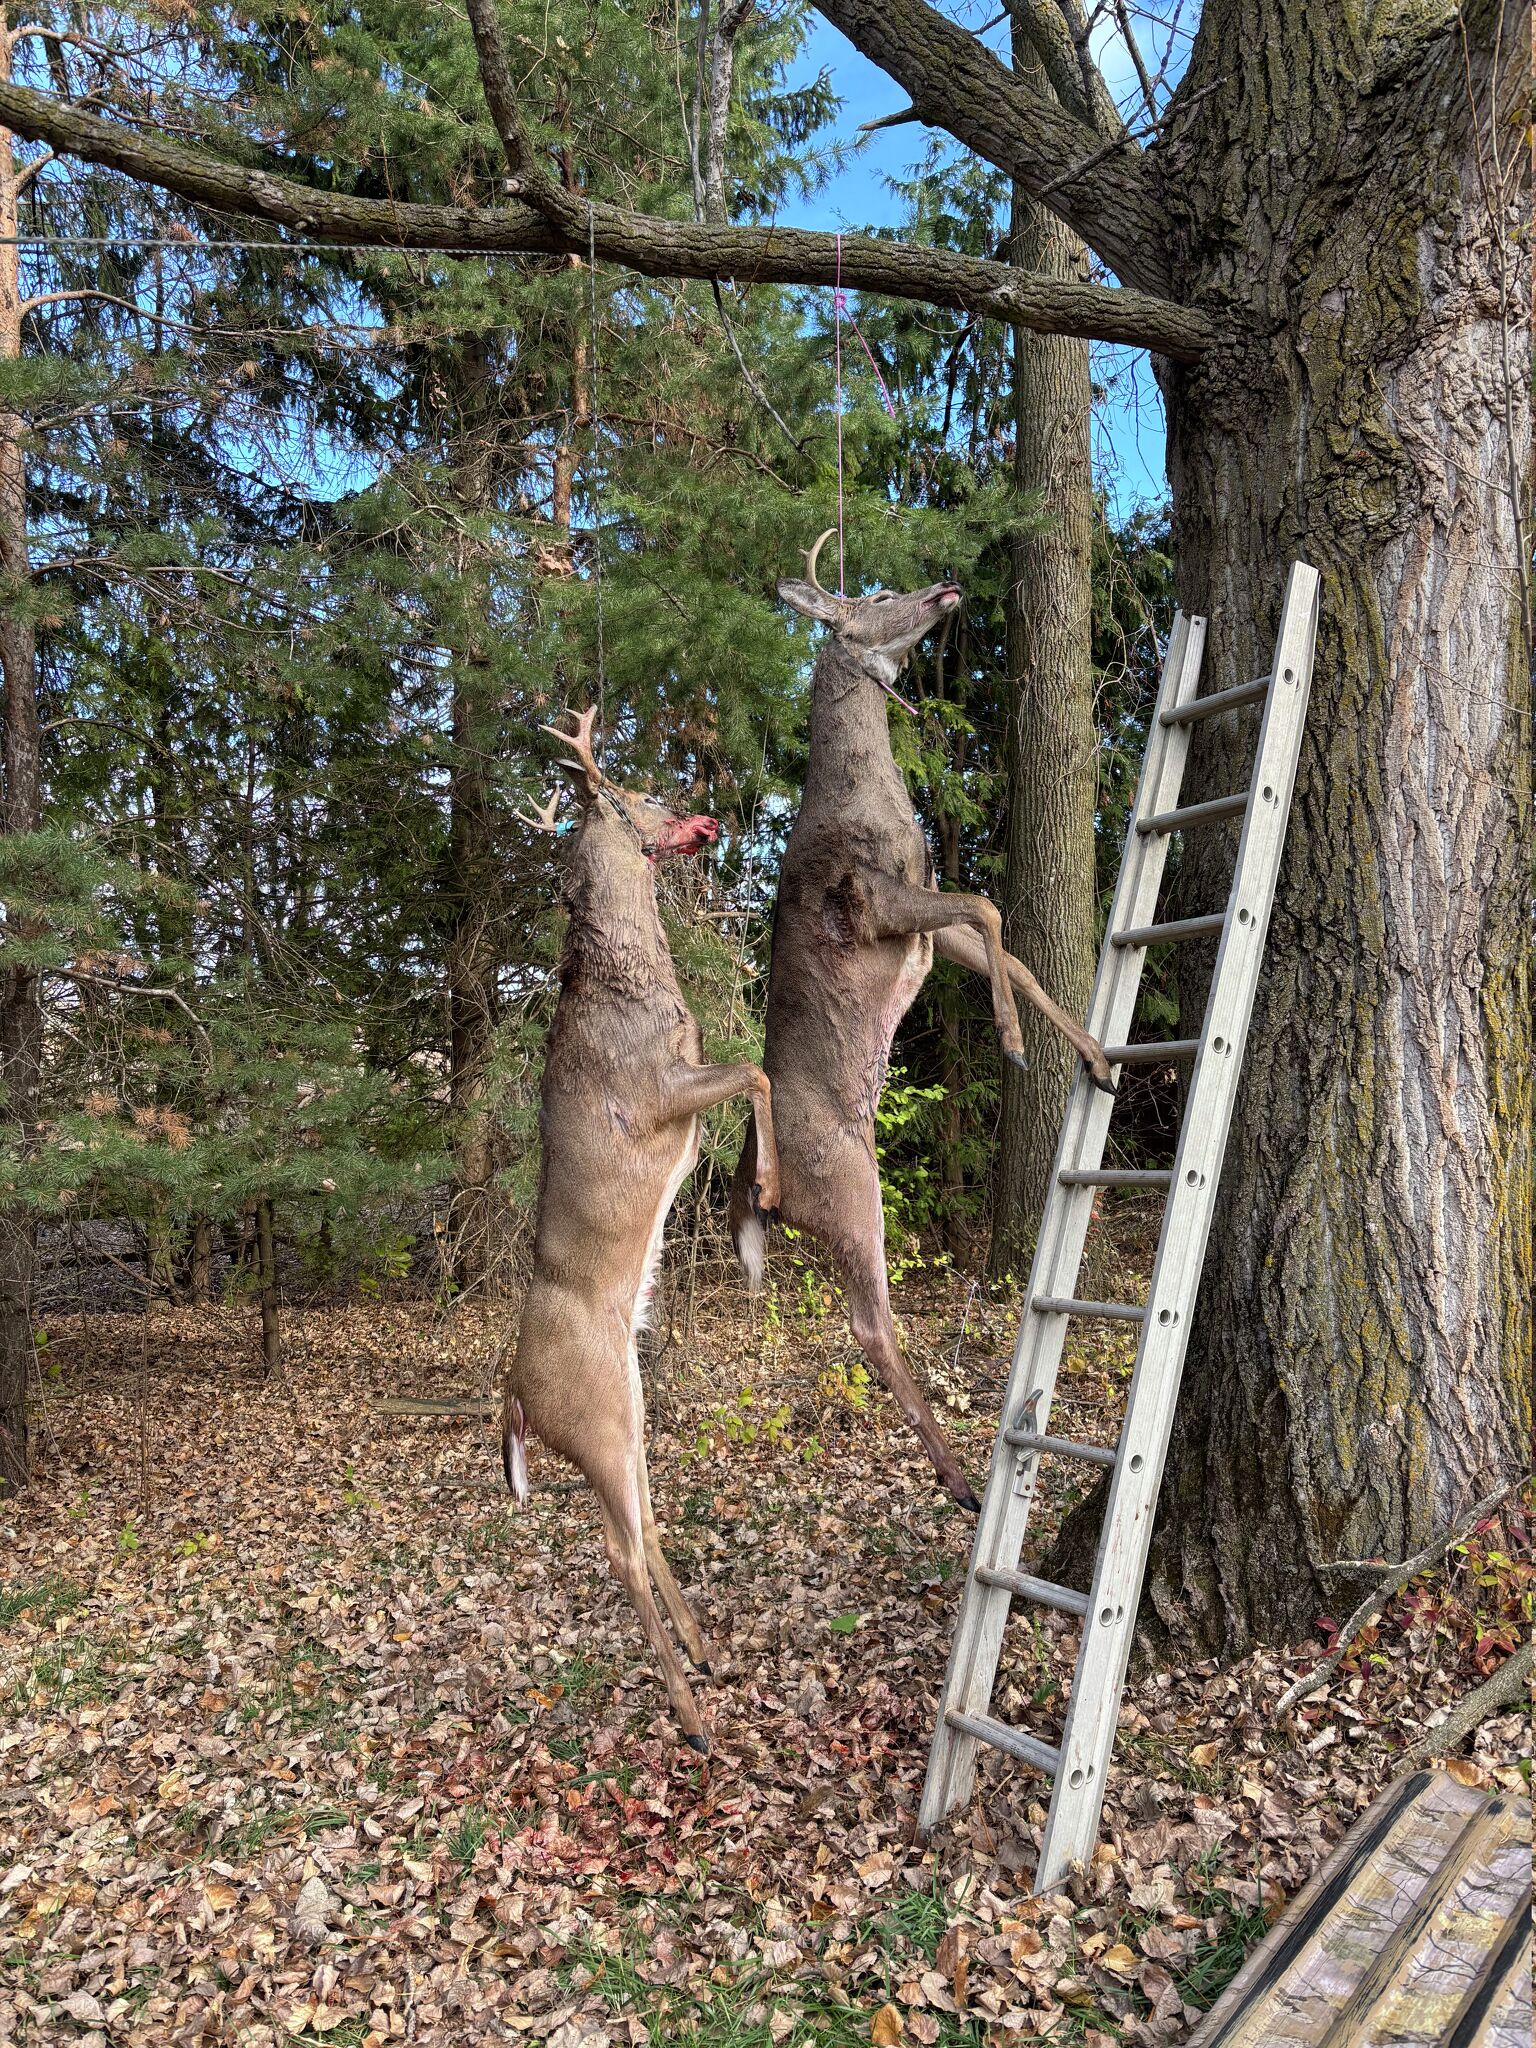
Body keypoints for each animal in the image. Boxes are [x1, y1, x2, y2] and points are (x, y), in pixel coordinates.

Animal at [504, 708, 779, 1752]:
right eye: (639, 792)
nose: (705, 818)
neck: (630, 981)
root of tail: (514, 1399)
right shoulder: (659, 1091)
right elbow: (756, 1069)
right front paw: (767, 1187)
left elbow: (755, 1072)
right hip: (591, 1416)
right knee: (618, 1550)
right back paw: (694, 1715)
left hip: (624, 1410)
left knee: (645, 1521)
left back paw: (706, 1653)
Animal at [729, 534, 1115, 1512]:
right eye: (872, 595)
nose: (944, 584)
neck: (866, 801)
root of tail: (751, 1188)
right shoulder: (876, 903)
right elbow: (989, 902)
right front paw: (1014, 1046)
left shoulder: (925, 923)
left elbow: (1009, 942)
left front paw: (1094, 1057)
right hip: (846, 1188)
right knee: (871, 1328)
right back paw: (962, 1478)